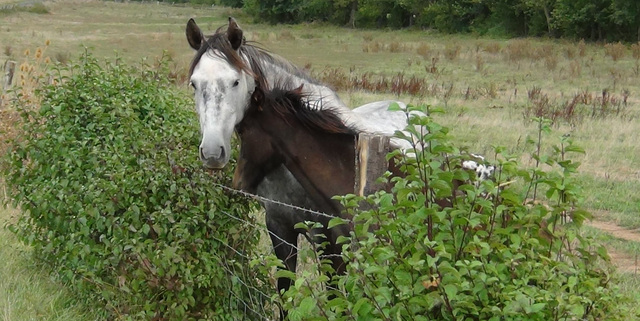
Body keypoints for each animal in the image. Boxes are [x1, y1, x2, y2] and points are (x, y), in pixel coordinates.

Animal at [185, 17, 418, 302]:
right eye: (194, 83)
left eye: (235, 82)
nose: (211, 153)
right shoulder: (279, 228)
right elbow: (286, 290)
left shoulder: (326, 235)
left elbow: (334, 295)